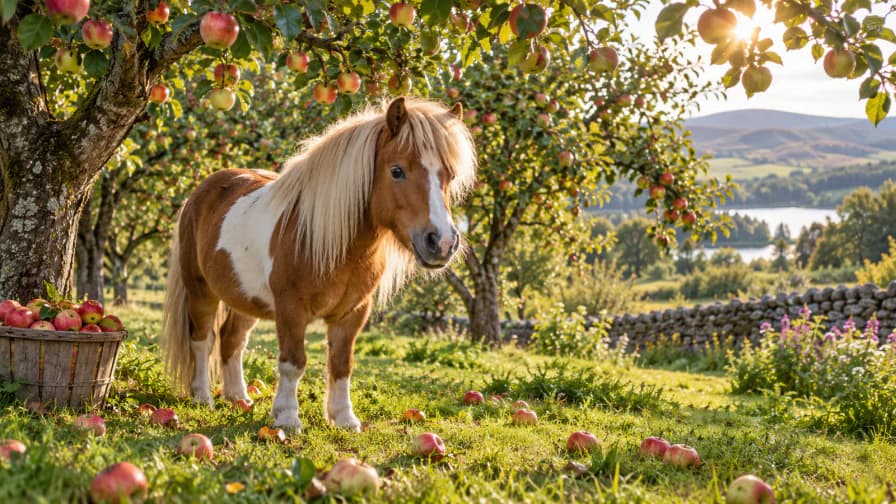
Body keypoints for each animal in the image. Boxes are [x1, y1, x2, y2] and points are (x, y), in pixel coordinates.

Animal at [159, 97, 476, 431]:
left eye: (450, 176)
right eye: (397, 170)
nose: (442, 242)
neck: (337, 246)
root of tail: (200, 192)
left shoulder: (353, 313)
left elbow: (341, 364)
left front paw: (344, 418)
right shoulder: (291, 309)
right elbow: (293, 362)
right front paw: (287, 417)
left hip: (245, 297)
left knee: (232, 339)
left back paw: (238, 398)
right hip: (201, 290)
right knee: (202, 339)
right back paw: (202, 397)